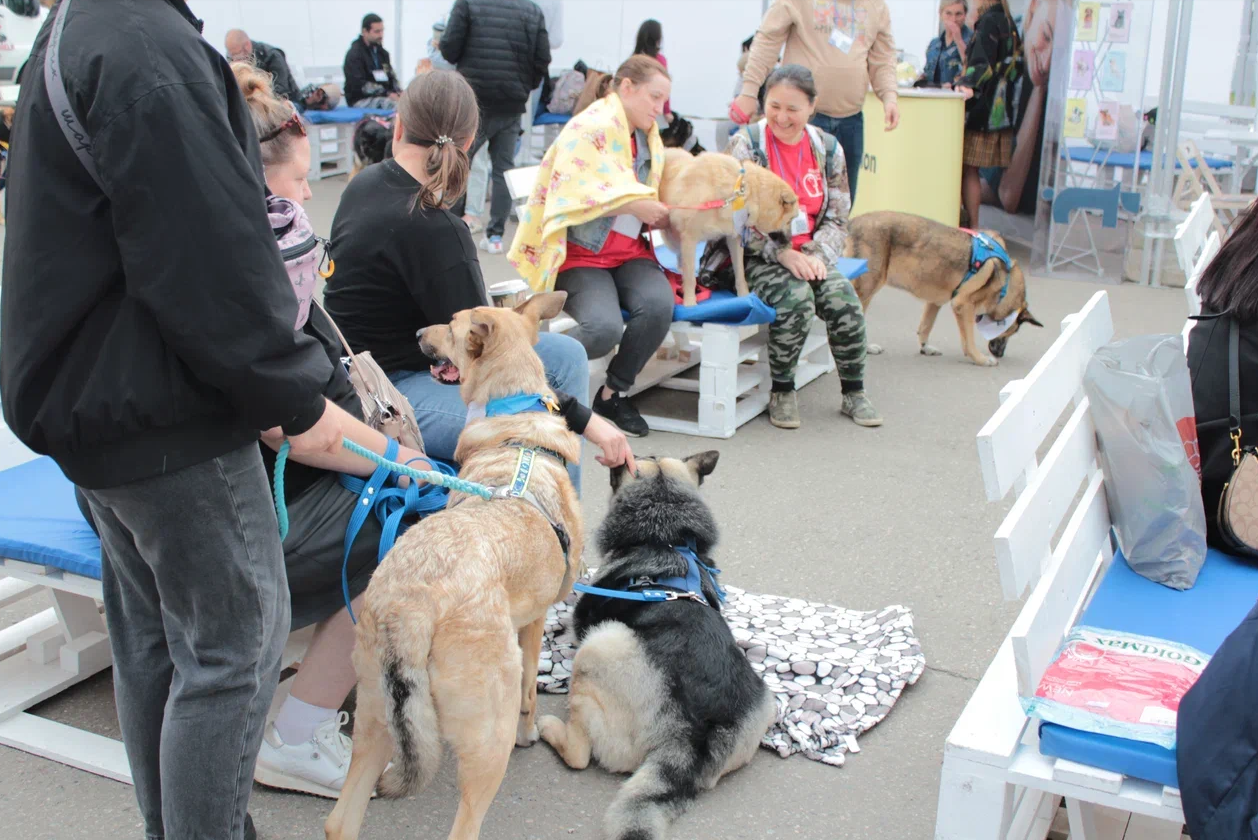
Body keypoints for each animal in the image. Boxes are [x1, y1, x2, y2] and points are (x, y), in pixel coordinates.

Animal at [322, 289, 581, 840]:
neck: (518, 428)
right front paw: (532, 732)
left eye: (452, 323)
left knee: (340, 821)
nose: (419, 333)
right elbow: (530, 691)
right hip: (486, 741)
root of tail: (411, 607)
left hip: (375, 720)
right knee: (465, 825)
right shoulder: (532, 624)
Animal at [535, 452, 769, 840]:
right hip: (768, 700)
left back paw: (550, 729)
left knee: (580, 754)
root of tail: (690, 738)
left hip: (600, 646)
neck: (666, 538)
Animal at [659, 148, 795, 308]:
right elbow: (690, 278)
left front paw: (744, 295)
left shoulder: (734, 239)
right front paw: (690, 302)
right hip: (673, 240)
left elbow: (740, 272)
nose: (789, 244)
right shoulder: (689, 239)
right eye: (790, 220)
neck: (740, 193)